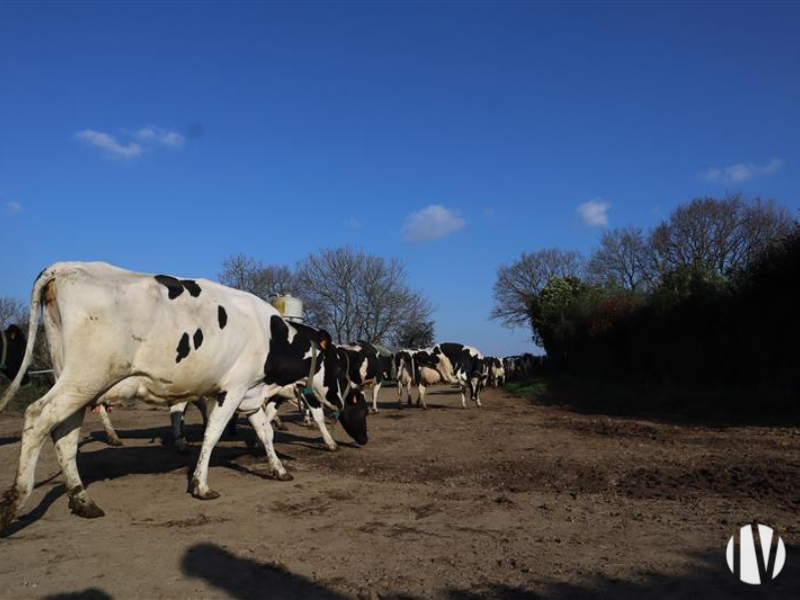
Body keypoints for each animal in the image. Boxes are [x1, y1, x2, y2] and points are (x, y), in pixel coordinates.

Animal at [0, 260, 368, 532]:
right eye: (339, 367)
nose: (338, 403)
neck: (269, 335)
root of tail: (65, 266)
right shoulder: (233, 389)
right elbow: (213, 433)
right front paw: (201, 485)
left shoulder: (249, 392)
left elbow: (265, 432)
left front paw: (278, 469)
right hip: (86, 377)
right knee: (37, 417)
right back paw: (16, 501)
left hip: (75, 379)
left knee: (64, 434)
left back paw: (82, 501)